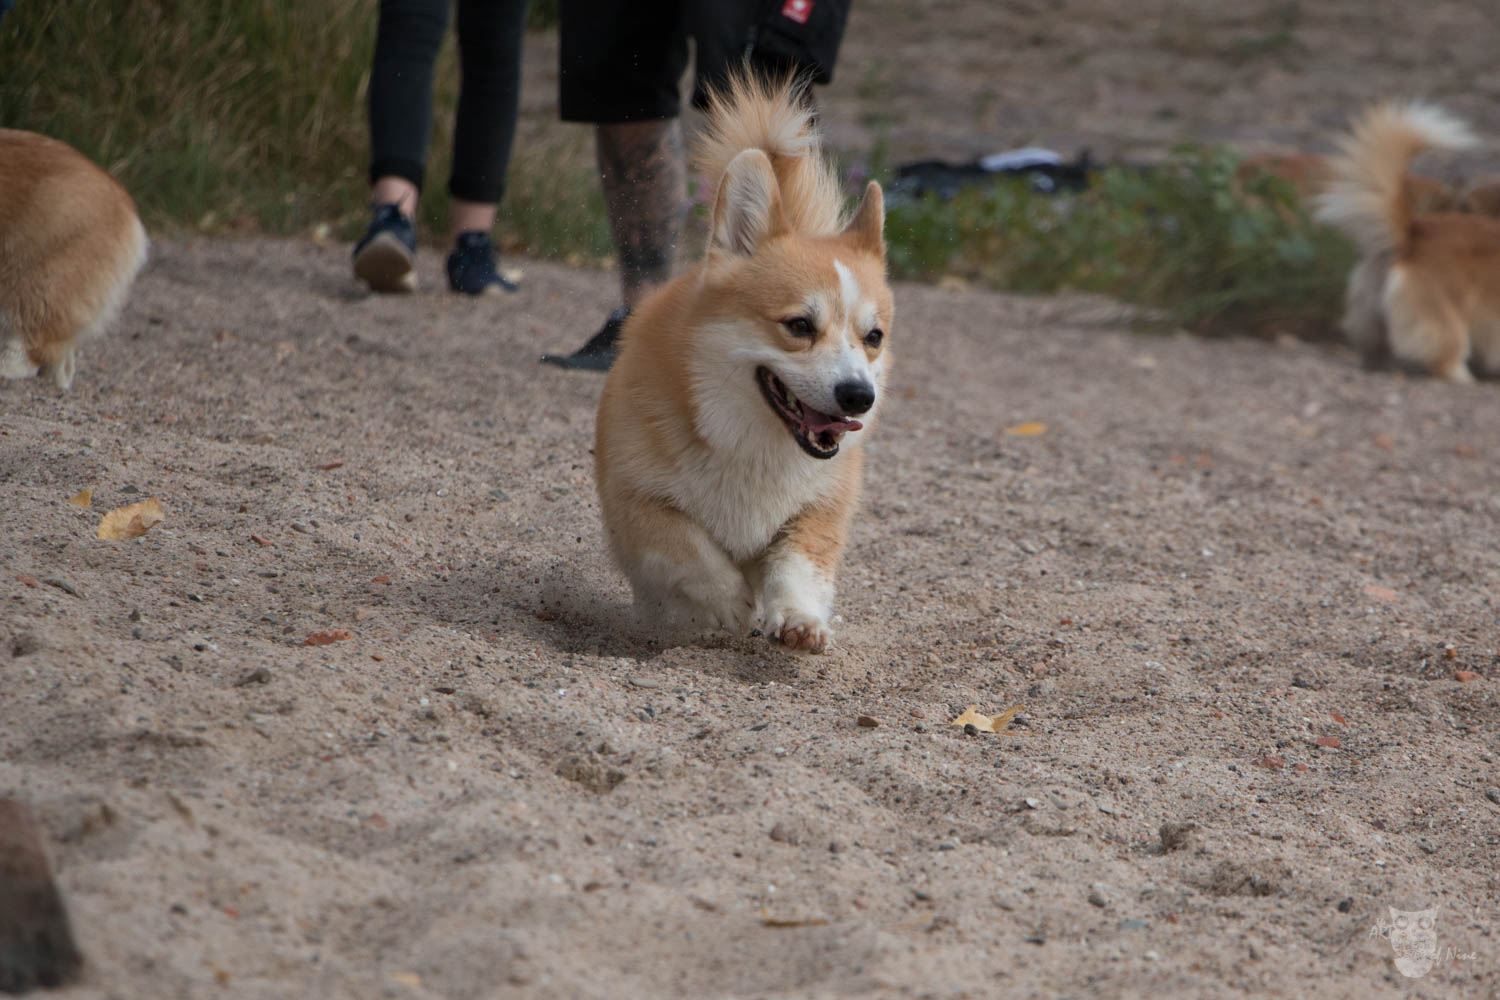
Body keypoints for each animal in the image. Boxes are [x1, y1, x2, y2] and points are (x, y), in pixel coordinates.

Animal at [593, 75, 891, 654]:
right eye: (799, 325)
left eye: (873, 337)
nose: (858, 397)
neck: (755, 444)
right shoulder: (639, 501)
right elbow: (690, 550)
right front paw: (727, 605)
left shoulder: (817, 511)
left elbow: (797, 565)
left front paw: (798, 621)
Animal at [1317, 102, 1500, 381]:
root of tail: (1413, 231)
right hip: (1446, 321)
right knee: (1443, 360)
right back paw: (1463, 379)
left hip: (1372, 322)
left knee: (1376, 354)